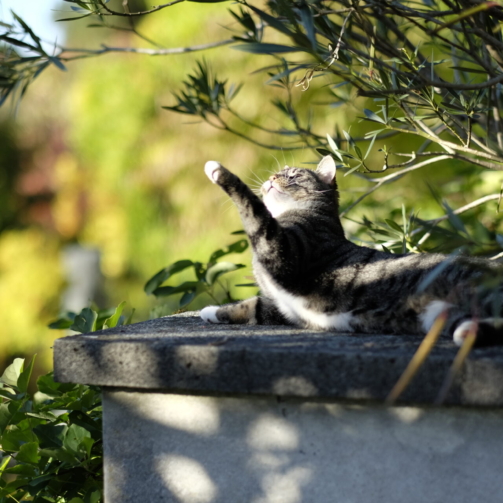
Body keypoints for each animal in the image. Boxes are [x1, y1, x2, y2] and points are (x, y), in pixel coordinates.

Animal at [200, 157, 503, 346]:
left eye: (293, 175)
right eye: (275, 174)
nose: (272, 177)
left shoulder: (280, 252)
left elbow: (251, 207)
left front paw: (217, 171)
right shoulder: (281, 304)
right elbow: (255, 306)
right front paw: (211, 311)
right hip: (438, 312)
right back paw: (468, 331)